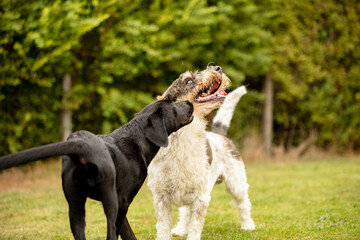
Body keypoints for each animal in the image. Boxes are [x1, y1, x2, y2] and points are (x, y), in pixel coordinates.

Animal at [0, 100, 194, 240]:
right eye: (173, 106)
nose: (190, 102)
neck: (138, 137)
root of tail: (83, 146)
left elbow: (126, 232)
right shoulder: (124, 200)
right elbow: (120, 231)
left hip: (75, 204)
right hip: (110, 199)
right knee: (110, 232)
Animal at [148, 66, 255, 240]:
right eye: (188, 81)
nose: (218, 68)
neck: (183, 139)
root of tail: (219, 134)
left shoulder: (201, 197)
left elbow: (195, 225)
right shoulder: (161, 197)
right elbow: (163, 228)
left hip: (236, 182)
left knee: (243, 203)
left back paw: (248, 225)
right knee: (185, 212)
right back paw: (180, 230)